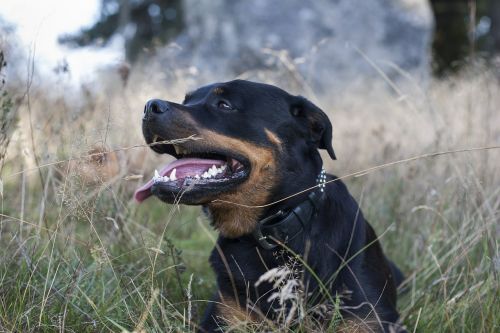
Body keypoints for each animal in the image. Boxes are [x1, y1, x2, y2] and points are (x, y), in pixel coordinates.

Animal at [134, 79, 406, 330]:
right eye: (187, 100)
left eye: (224, 105)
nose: (149, 106)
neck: (278, 235)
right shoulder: (224, 316)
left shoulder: (370, 318)